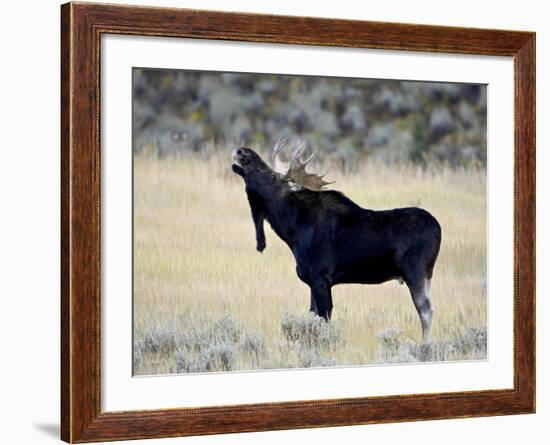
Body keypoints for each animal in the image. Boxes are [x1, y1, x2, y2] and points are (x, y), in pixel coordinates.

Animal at [233, 140, 444, 338]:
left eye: (270, 175)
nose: (242, 151)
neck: (291, 229)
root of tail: (438, 228)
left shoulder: (320, 277)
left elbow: (324, 318)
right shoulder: (313, 280)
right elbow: (313, 316)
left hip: (414, 272)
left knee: (426, 310)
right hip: (427, 275)